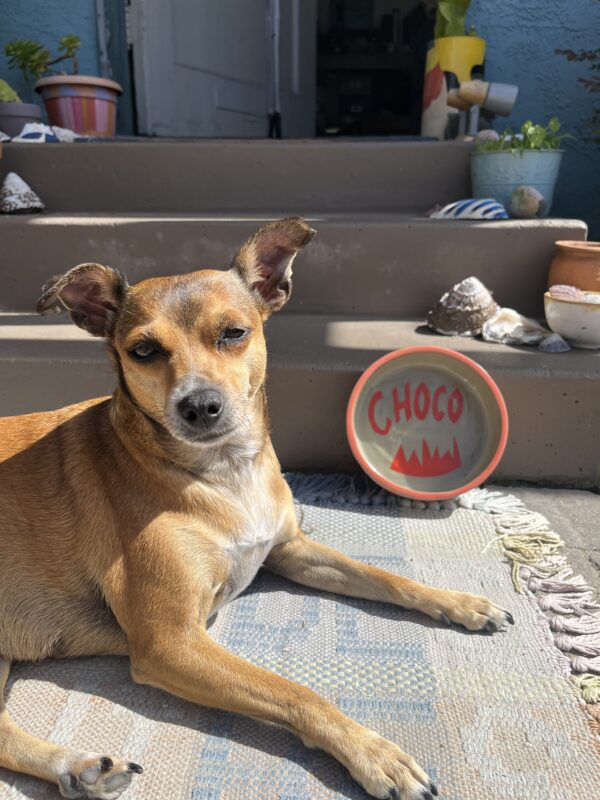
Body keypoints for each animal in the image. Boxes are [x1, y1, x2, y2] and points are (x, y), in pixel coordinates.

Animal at [1, 219, 510, 800]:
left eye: (233, 333)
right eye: (144, 350)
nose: (200, 406)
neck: (225, 473)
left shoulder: (290, 549)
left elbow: (386, 578)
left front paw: (460, 603)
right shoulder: (171, 642)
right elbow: (295, 691)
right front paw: (374, 753)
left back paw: (80, 768)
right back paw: (78, 763)